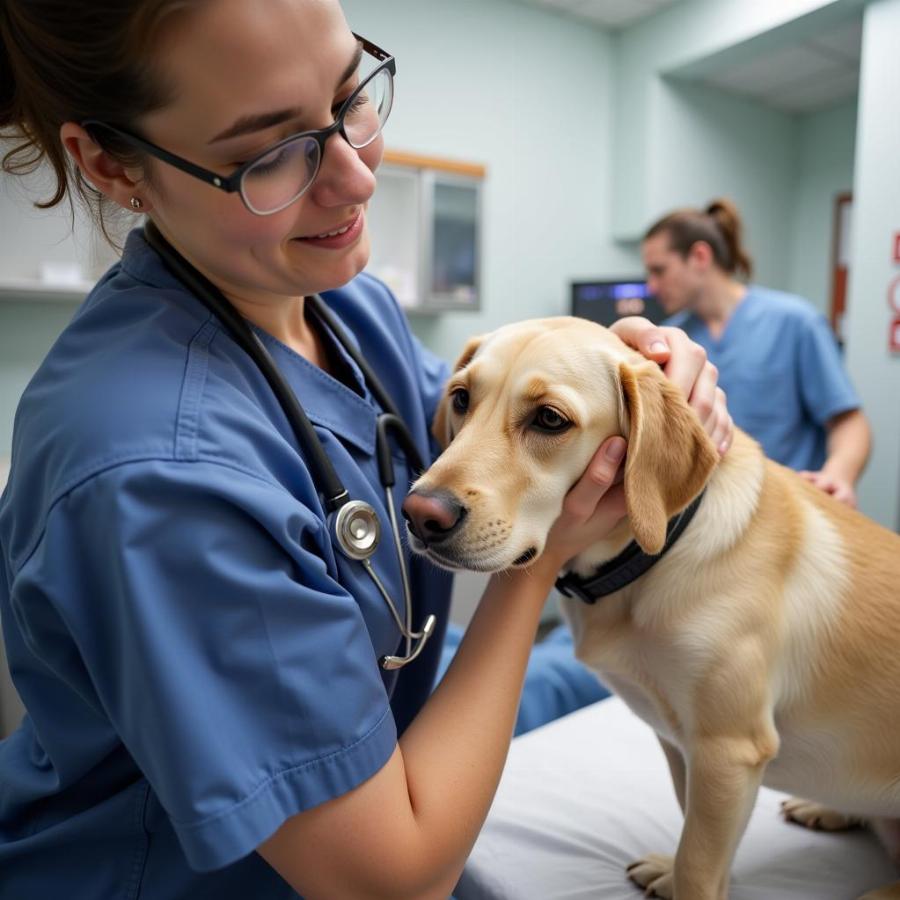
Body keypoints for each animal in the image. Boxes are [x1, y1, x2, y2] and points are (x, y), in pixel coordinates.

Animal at [404, 318, 900, 900]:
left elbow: (699, 866)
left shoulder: (727, 751)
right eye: (460, 398)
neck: (653, 557)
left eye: (549, 419)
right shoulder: (683, 747)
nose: (420, 514)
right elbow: (695, 840)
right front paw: (680, 870)